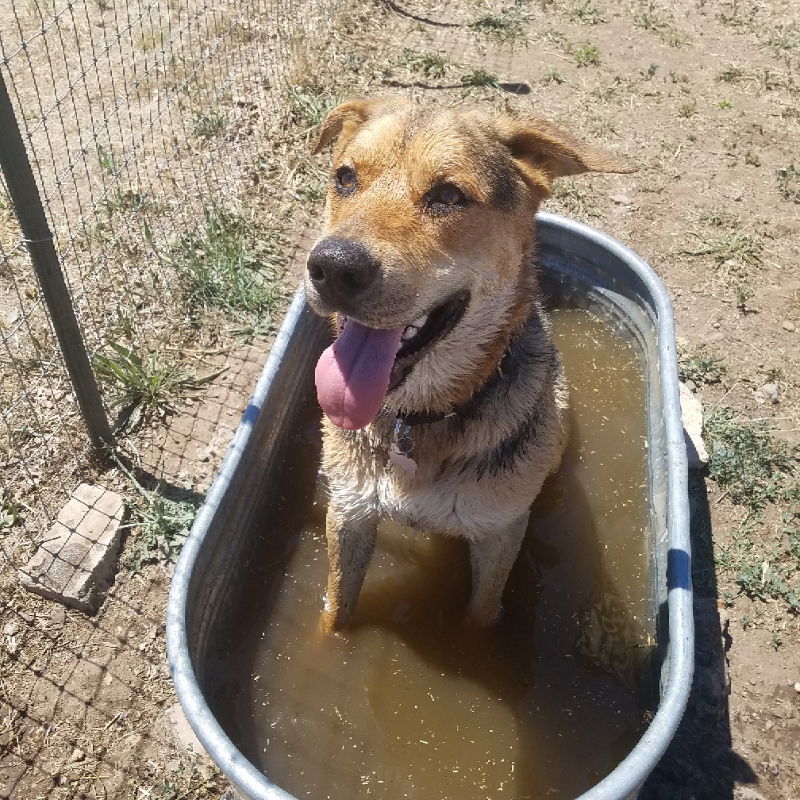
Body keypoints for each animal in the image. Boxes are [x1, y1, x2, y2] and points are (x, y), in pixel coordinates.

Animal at [304, 97, 632, 628]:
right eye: (345, 178)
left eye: (448, 195)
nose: (332, 266)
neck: (419, 419)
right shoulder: (349, 513)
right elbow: (335, 613)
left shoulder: (498, 531)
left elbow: (480, 618)